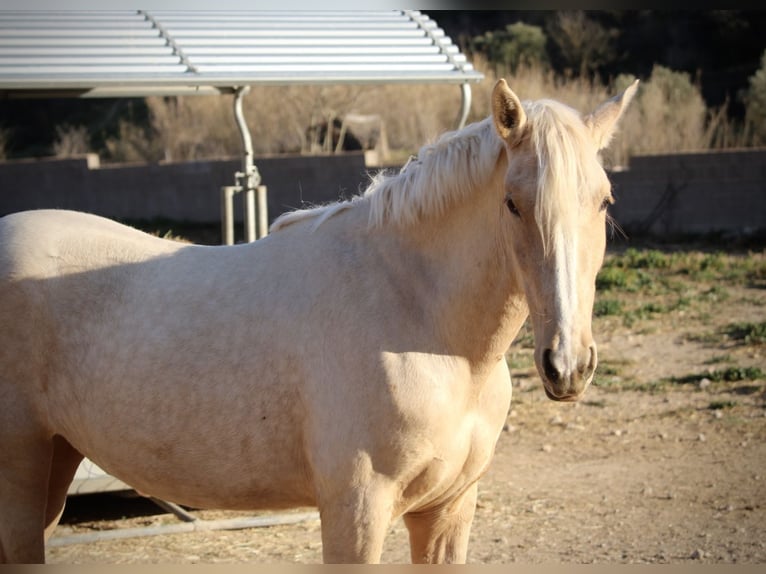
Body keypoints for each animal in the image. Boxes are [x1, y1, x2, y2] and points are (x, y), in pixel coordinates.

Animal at [0, 79, 636, 564]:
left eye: (604, 201)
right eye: (512, 203)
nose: (567, 365)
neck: (418, 318)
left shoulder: (448, 512)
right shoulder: (356, 513)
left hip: (55, 461)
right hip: (21, 471)